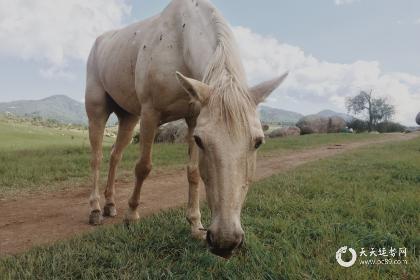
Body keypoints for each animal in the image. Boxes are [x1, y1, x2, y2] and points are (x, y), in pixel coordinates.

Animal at [85, 0, 288, 258]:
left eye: (258, 142)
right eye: (201, 141)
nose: (225, 242)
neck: (179, 41)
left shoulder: (192, 118)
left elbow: (192, 173)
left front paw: (195, 224)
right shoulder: (150, 114)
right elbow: (143, 167)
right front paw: (131, 216)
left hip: (128, 117)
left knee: (114, 156)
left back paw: (110, 205)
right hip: (97, 110)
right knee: (97, 158)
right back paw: (95, 209)